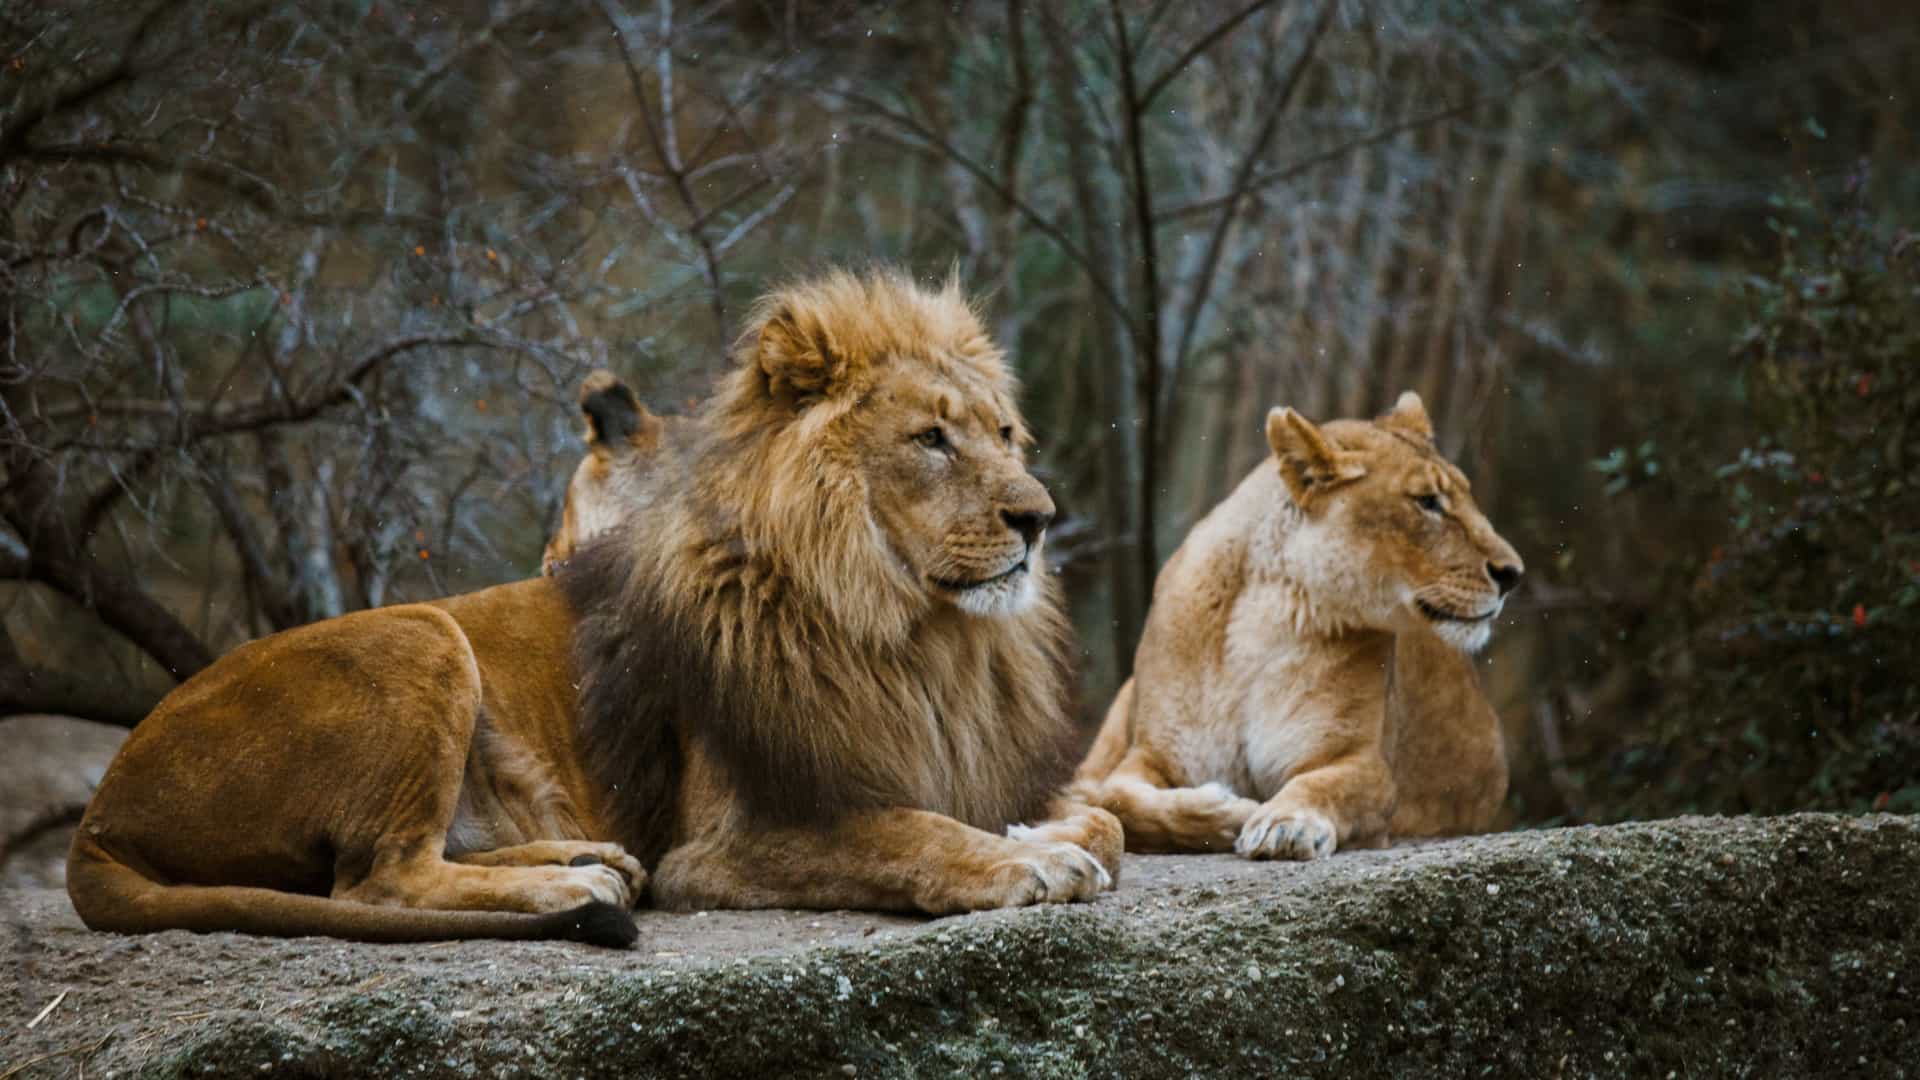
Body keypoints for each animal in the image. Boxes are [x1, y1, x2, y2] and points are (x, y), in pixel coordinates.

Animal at [66, 269, 1120, 947]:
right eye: (931, 439)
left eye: (1006, 434)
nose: (1038, 517)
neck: (917, 634)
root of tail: (99, 814)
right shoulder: (718, 846)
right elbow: (900, 832)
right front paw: (1020, 867)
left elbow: (1094, 820)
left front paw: (1044, 839)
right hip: (422, 634)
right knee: (375, 882)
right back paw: (566, 884)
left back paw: (585, 858)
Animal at [1071, 393, 1522, 860]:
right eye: (1427, 501)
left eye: (1465, 495)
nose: (1513, 574)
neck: (1264, 614)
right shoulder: (1151, 754)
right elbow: (1118, 798)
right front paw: (1227, 810)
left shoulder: (1363, 762)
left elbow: (1322, 785)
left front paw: (1284, 823)